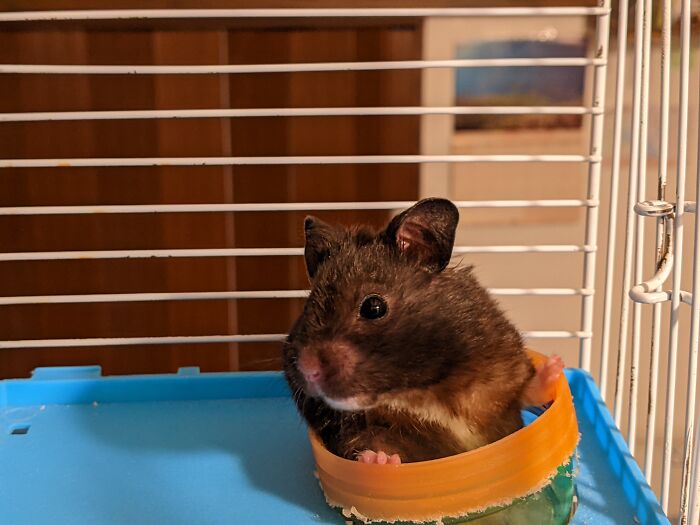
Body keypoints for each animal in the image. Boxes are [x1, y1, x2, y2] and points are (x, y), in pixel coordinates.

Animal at [283, 198, 562, 464]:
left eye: (373, 307)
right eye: (307, 307)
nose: (307, 368)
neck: (421, 388)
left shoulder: (504, 367)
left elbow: (526, 388)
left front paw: (555, 366)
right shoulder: (362, 430)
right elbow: (371, 444)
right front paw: (379, 461)